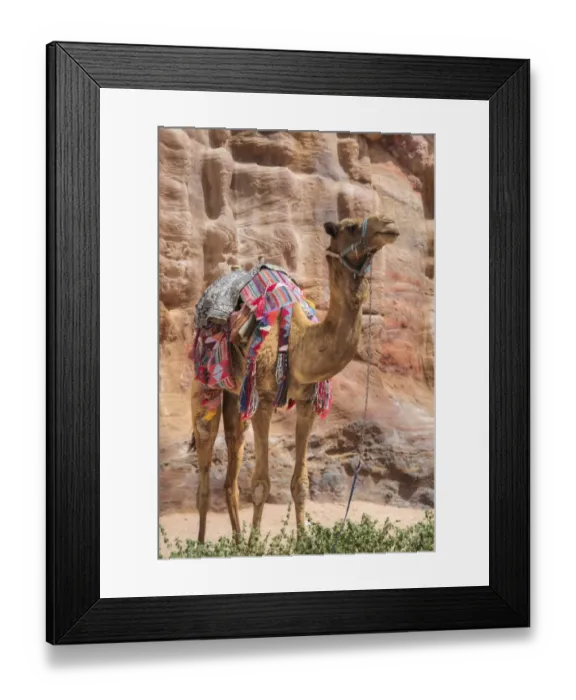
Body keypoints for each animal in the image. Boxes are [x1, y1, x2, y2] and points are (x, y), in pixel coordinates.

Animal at [190, 214, 400, 543]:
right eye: (351, 226)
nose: (389, 224)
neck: (300, 340)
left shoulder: (307, 402)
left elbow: (300, 483)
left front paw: (302, 540)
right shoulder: (263, 401)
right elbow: (261, 484)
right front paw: (255, 545)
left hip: (236, 394)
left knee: (232, 459)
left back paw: (235, 542)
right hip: (205, 380)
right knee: (204, 458)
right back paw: (201, 545)